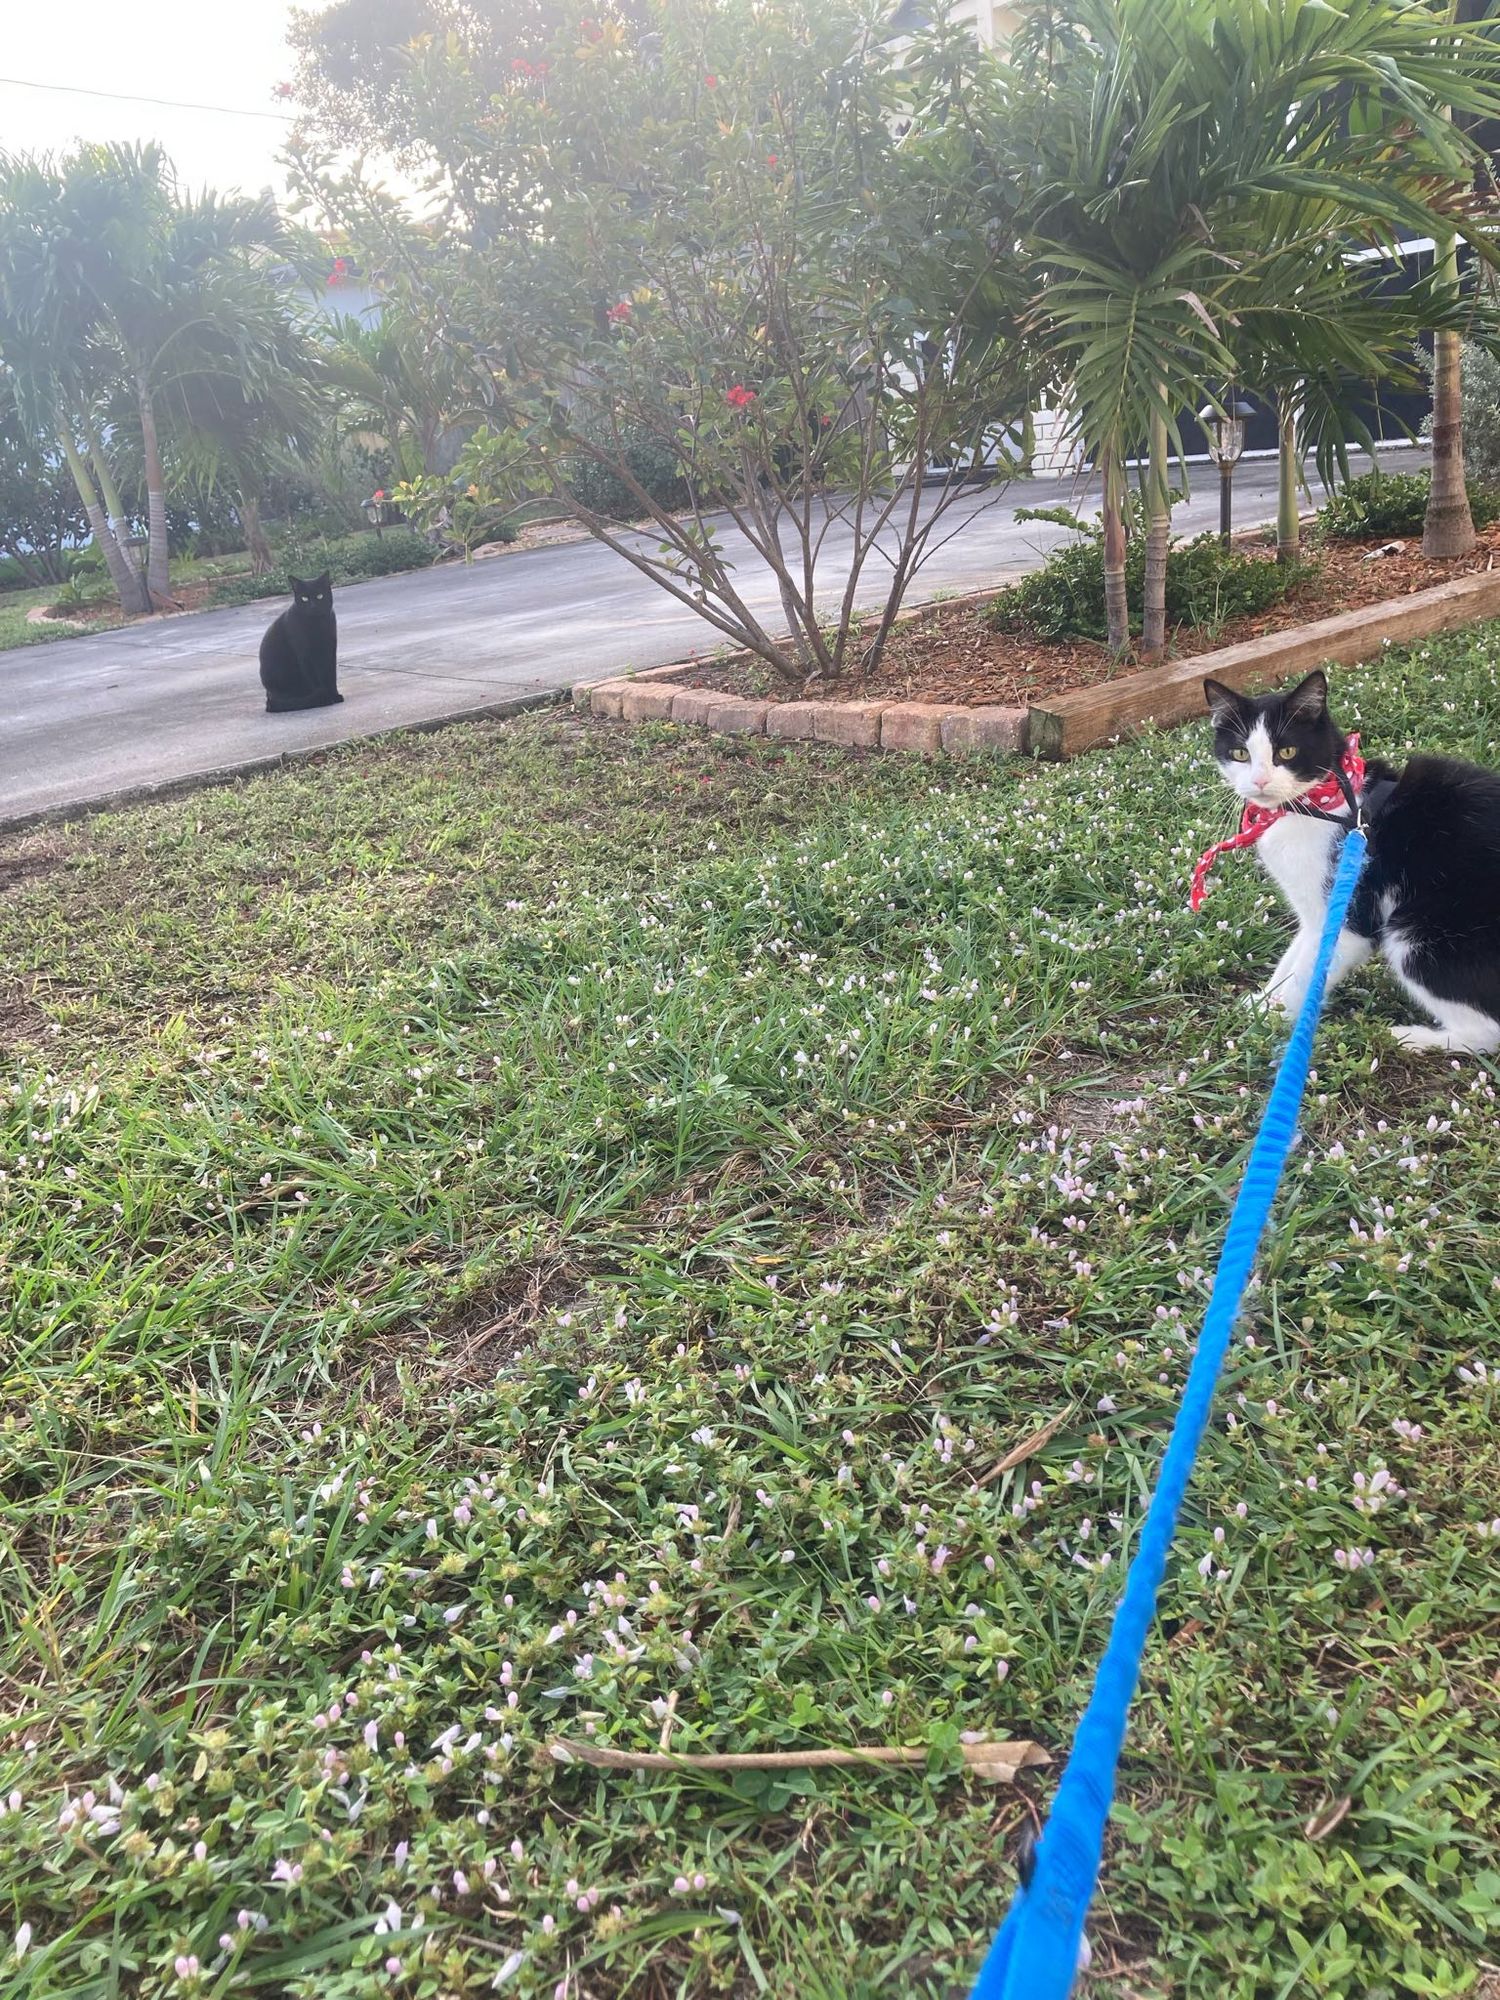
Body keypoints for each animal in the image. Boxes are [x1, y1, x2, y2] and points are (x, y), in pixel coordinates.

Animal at [260, 576, 342, 716]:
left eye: (319, 596)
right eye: (304, 598)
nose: (313, 606)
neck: (317, 624)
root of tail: (268, 699)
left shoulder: (330, 651)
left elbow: (331, 675)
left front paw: (334, 695)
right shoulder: (305, 656)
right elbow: (315, 680)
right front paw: (325, 696)